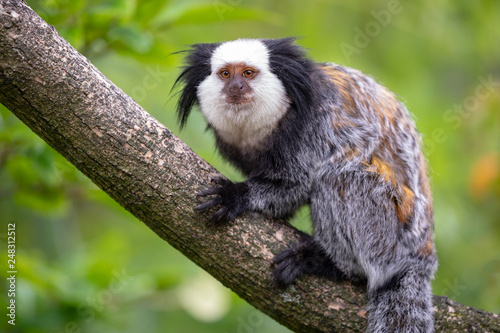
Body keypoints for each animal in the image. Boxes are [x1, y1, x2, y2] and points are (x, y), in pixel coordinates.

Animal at [173, 37, 438, 330]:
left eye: (248, 73)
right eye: (225, 74)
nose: (236, 87)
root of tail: (422, 257)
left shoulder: (315, 125)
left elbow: (297, 185)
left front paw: (236, 195)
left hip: (391, 238)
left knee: (339, 177)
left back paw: (327, 263)